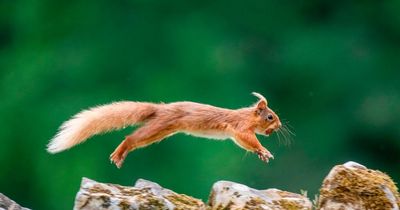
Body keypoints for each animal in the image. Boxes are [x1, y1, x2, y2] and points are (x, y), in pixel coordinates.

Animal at [47, 92, 282, 168]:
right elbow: (247, 139)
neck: (247, 115)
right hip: (158, 127)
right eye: (270, 116)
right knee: (130, 137)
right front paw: (264, 151)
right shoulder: (240, 128)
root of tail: (161, 108)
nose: (279, 126)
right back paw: (119, 153)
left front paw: (262, 154)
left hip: (161, 131)